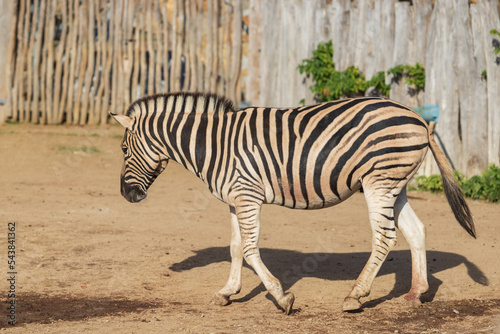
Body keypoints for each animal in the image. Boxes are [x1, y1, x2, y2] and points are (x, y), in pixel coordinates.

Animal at [111, 92, 474, 314]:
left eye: (124, 150)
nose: (128, 196)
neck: (214, 145)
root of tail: (418, 117)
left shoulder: (247, 195)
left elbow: (249, 249)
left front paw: (281, 296)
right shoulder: (234, 200)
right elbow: (234, 247)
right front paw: (228, 292)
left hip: (379, 183)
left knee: (385, 237)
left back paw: (355, 296)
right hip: (394, 184)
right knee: (416, 231)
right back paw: (416, 293)